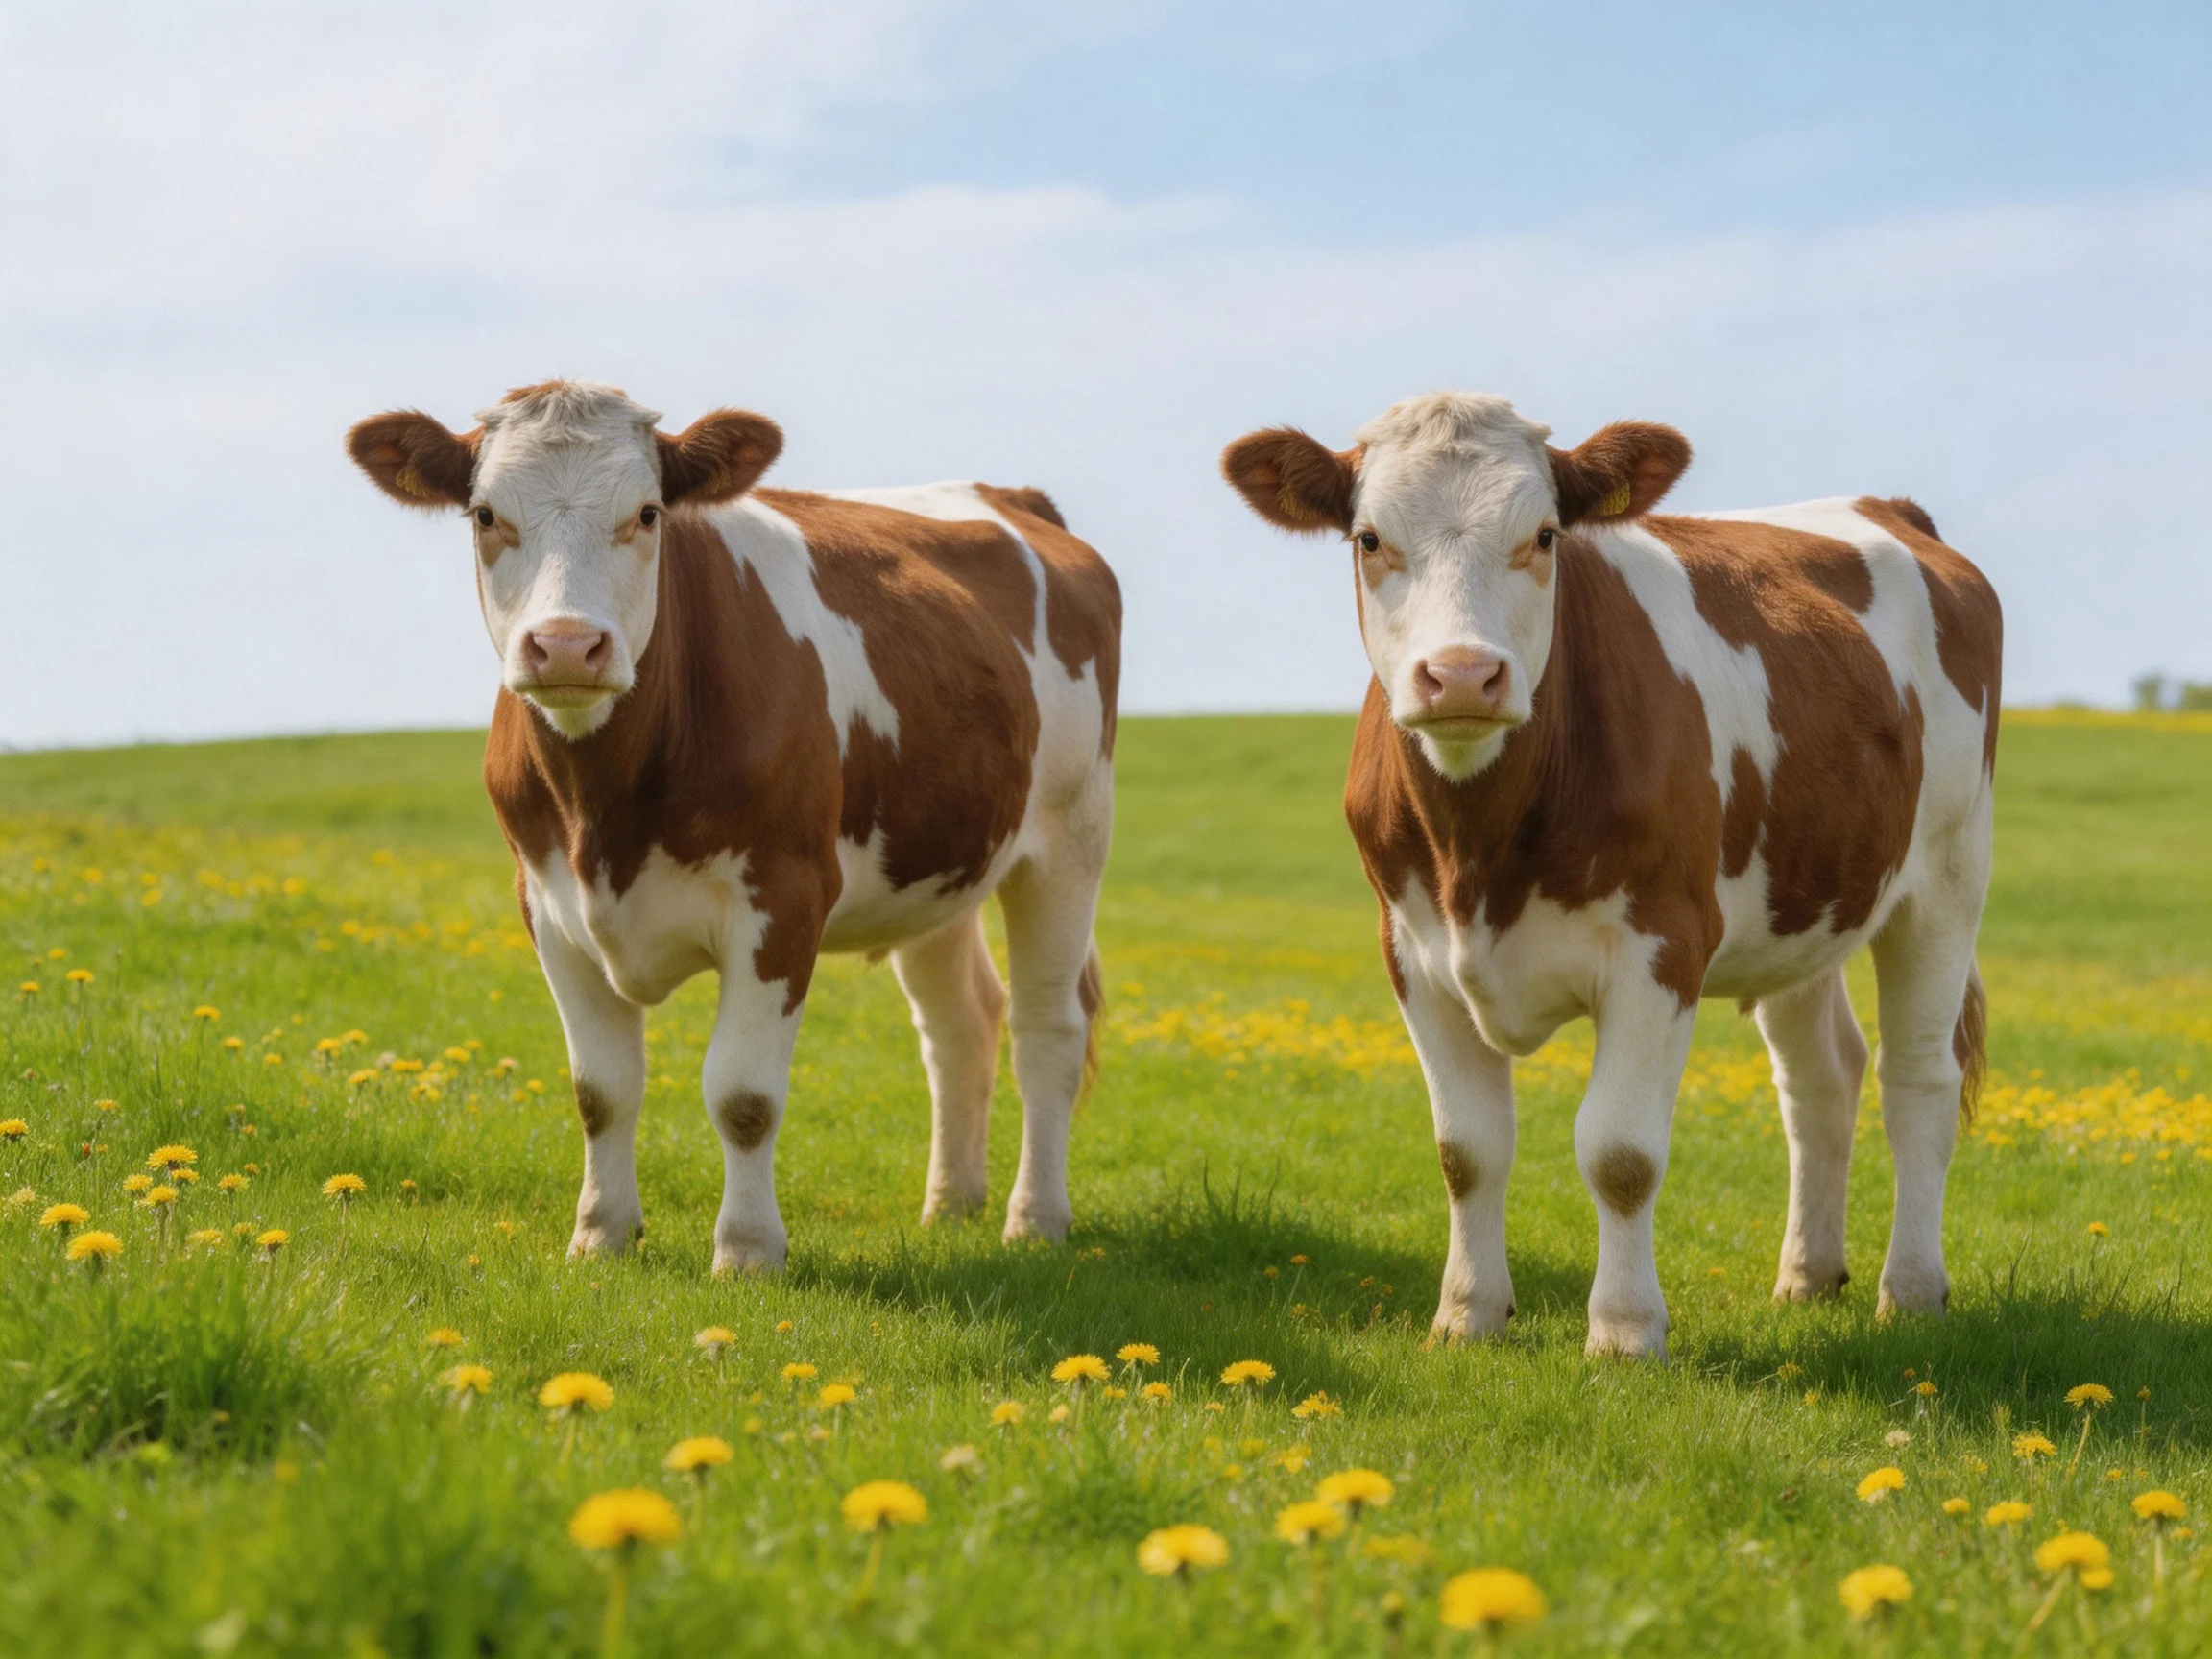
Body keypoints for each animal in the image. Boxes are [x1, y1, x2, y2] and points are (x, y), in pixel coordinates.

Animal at [347, 381, 1119, 1271]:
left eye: (648, 513)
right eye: (483, 514)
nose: (568, 646)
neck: (604, 812)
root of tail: (1015, 498)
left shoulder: (784, 898)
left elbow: (743, 1095)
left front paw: (748, 1250)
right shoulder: (545, 902)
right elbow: (600, 1090)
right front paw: (600, 1235)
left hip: (1069, 840)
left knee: (1047, 1029)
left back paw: (1036, 1218)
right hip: (937, 861)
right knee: (960, 1023)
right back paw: (950, 1204)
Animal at [1222, 393, 1999, 1357]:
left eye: (1546, 535)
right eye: (1369, 538)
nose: (1463, 676)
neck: (1480, 853)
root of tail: (1890, 508)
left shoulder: (1663, 946)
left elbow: (1620, 1154)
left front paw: (1626, 1332)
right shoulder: (1413, 953)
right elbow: (1466, 1149)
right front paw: (1467, 1316)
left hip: (1945, 881)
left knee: (1917, 1078)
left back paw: (1913, 1290)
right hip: (1804, 902)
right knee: (1821, 1079)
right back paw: (1808, 1276)